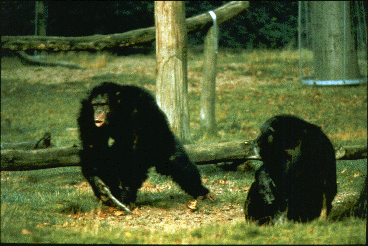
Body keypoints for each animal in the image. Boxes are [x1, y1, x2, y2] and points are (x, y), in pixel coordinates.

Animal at [79, 82, 214, 208]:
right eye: (95, 105)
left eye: (103, 104)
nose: (98, 112)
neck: (118, 109)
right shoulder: (86, 112)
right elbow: (94, 147)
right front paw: (98, 185)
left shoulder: (139, 109)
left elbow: (135, 148)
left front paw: (126, 193)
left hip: (163, 141)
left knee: (176, 161)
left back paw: (201, 191)